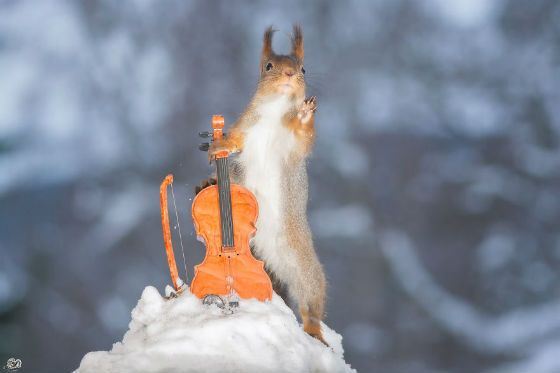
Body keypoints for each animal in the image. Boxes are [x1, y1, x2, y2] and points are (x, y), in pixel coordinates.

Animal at [198, 24, 326, 342]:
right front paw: (218, 146)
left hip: (304, 267)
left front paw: (306, 113)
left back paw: (314, 330)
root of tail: (268, 252)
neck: (274, 110)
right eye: (268, 66)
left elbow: (304, 138)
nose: (290, 75)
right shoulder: (246, 125)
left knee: (311, 301)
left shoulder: (293, 146)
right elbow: (233, 141)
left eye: (303, 68)